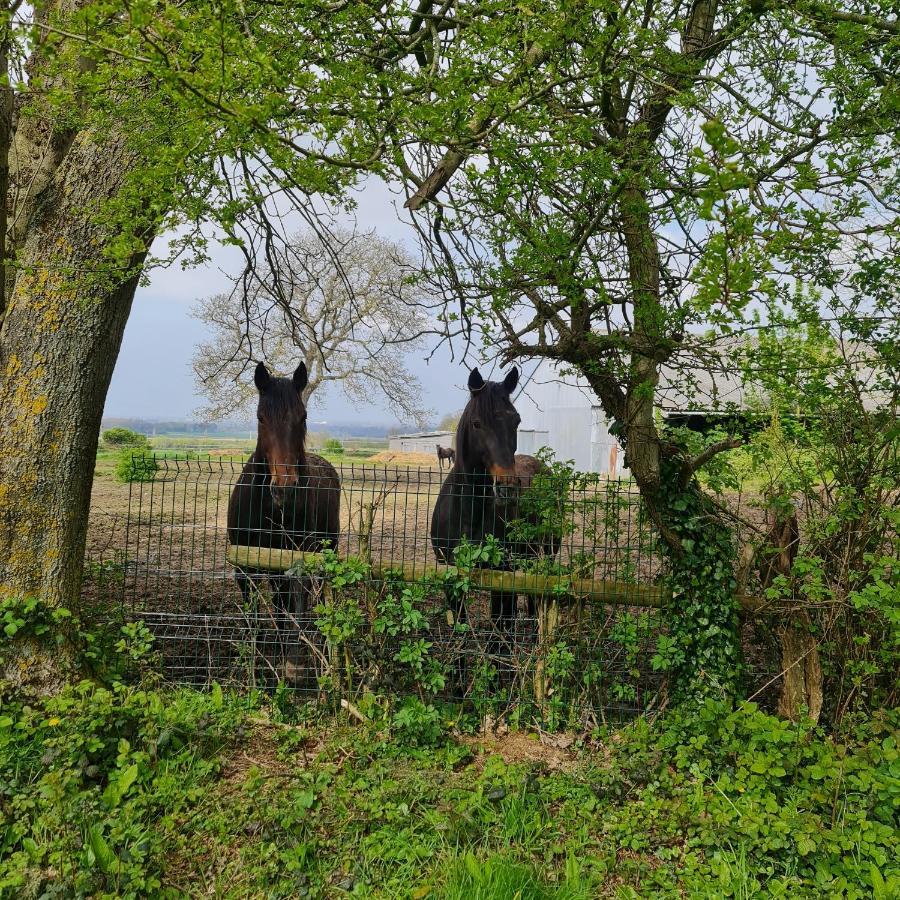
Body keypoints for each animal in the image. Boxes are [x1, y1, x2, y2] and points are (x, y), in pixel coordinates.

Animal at [229, 362, 342, 672]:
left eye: (303, 417)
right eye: (261, 417)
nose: (285, 488)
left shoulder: (293, 562)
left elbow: (290, 613)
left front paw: (290, 661)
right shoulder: (244, 568)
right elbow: (255, 621)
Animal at [428, 362, 556, 628]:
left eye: (516, 420)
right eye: (477, 423)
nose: (508, 486)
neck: (468, 514)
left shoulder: (502, 574)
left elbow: (500, 621)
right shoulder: (452, 574)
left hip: (547, 552)